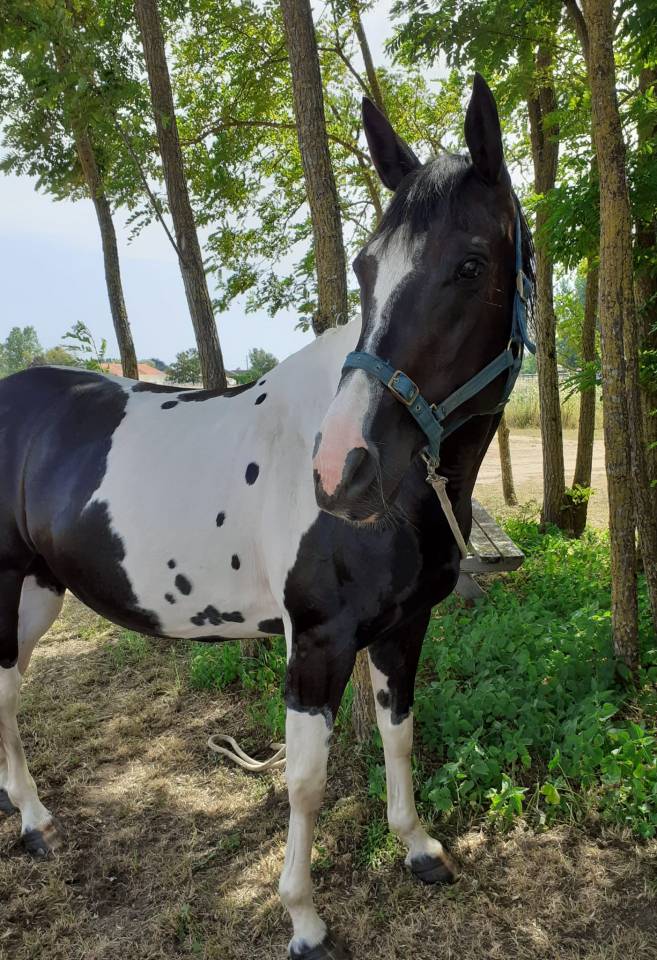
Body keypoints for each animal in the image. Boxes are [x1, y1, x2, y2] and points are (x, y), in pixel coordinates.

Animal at [0, 74, 534, 959]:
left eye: (469, 262)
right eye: (364, 267)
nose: (341, 468)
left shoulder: (402, 628)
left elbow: (398, 733)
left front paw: (417, 848)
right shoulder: (315, 642)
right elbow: (304, 782)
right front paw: (304, 920)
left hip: (40, 590)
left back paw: (30, 817)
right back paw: (37, 821)